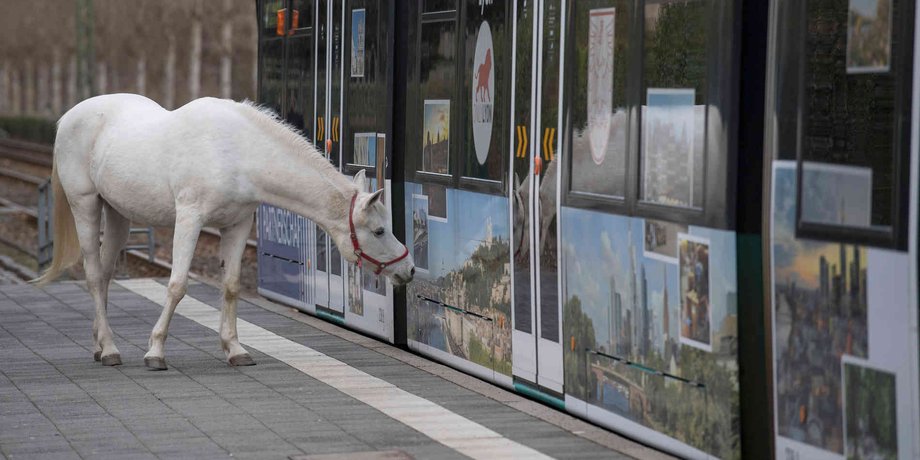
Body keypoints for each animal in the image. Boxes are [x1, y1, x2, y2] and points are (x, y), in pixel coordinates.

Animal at [35, 93, 415, 370]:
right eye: (379, 231)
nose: (408, 270)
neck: (238, 152)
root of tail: (68, 118)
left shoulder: (238, 225)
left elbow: (230, 287)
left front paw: (234, 349)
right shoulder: (190, 219)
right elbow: (177, 285)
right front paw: (155, 351)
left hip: (118, 214)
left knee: (105, 275)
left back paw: (101, 345)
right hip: (86, 205)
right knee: (93, 275)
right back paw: (111, 349)